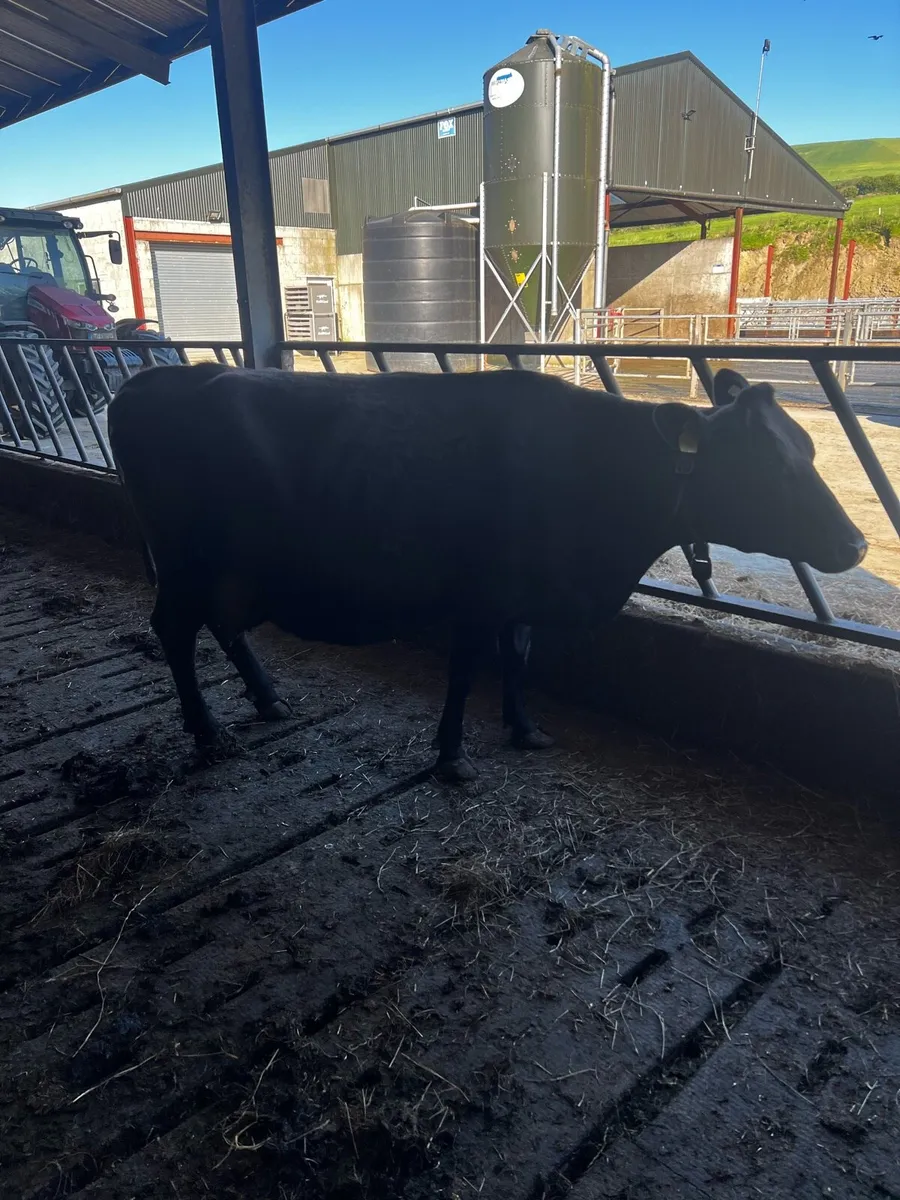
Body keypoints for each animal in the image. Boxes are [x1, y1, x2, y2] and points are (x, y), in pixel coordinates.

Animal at [108, 363, 866, 781]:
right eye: (769, 466)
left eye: (809, 449)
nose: (857, 544)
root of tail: (153, 380)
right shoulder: (478, 592)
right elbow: (467, 669)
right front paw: (452, 757)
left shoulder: (520, 594)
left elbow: (519, 656)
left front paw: (524, 729)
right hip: (187, 559)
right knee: (173, 629)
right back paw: (207, 733)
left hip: (228, 565)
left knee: (221, 624)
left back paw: (267, 699)